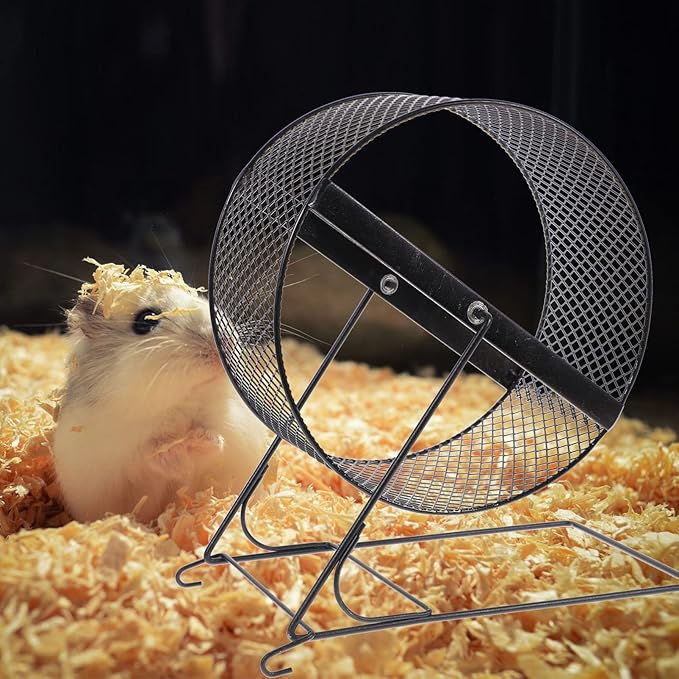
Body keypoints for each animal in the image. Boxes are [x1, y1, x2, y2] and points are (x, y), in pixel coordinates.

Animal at [52, 263, 272, 523]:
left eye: (198, 296)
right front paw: (172, 452)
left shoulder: (234, 430)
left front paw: (200, 439)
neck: (177, 406)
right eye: (145, 321)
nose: (225, 343)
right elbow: (145, 462)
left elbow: (216, 444)